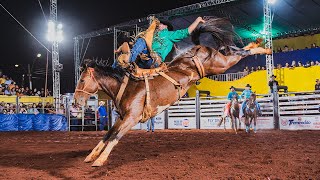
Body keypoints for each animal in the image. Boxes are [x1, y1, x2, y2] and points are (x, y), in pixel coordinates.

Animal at [73, 17, 270, 167]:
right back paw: (258, 43)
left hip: (220, 65)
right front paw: (92, 155)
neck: (125, 85)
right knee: (235, 51)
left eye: (81, 80)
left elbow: (115, 137)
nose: (75, 102)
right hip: (219, 62)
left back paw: (264, 47)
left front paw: (100, 160)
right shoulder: (122, 117)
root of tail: (198, 47)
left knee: (240, 54)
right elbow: (108, 134)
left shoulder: (132, 118)